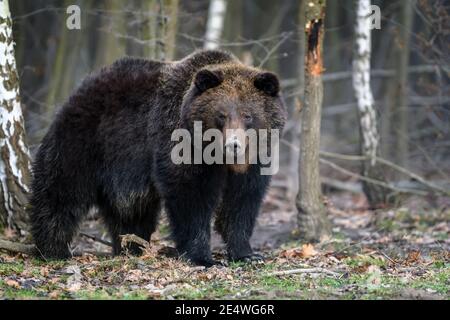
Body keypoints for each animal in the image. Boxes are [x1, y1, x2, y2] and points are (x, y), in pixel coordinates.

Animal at [29, 49, 286, 264]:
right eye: (221, 115)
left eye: (248, 115)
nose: (233, 145)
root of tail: (84, 84)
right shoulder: (179, 145)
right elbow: (190, 196)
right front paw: (202, 257)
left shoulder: (254, 162)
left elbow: (241, 201)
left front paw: (247, 254)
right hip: (86, 140)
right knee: (60, 192)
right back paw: (53, 249)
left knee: (131, 210)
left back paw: (130, 246)